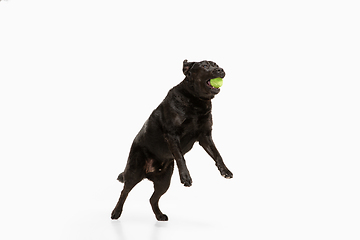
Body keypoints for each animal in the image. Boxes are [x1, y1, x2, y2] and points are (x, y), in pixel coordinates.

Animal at [110, 59, 233, 221]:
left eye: (216, 65)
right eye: (205, 66)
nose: (221, 70)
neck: (196, 101)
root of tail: (148, 173)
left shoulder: (205, 136)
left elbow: (217, 154)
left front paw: (225, 171)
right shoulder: (172, 135)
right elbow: (180, 157)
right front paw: (186, 177)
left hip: (164, 181)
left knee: (152, 199)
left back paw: (159, 215)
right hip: (133, 173)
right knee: (124, 192)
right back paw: (116, 212)